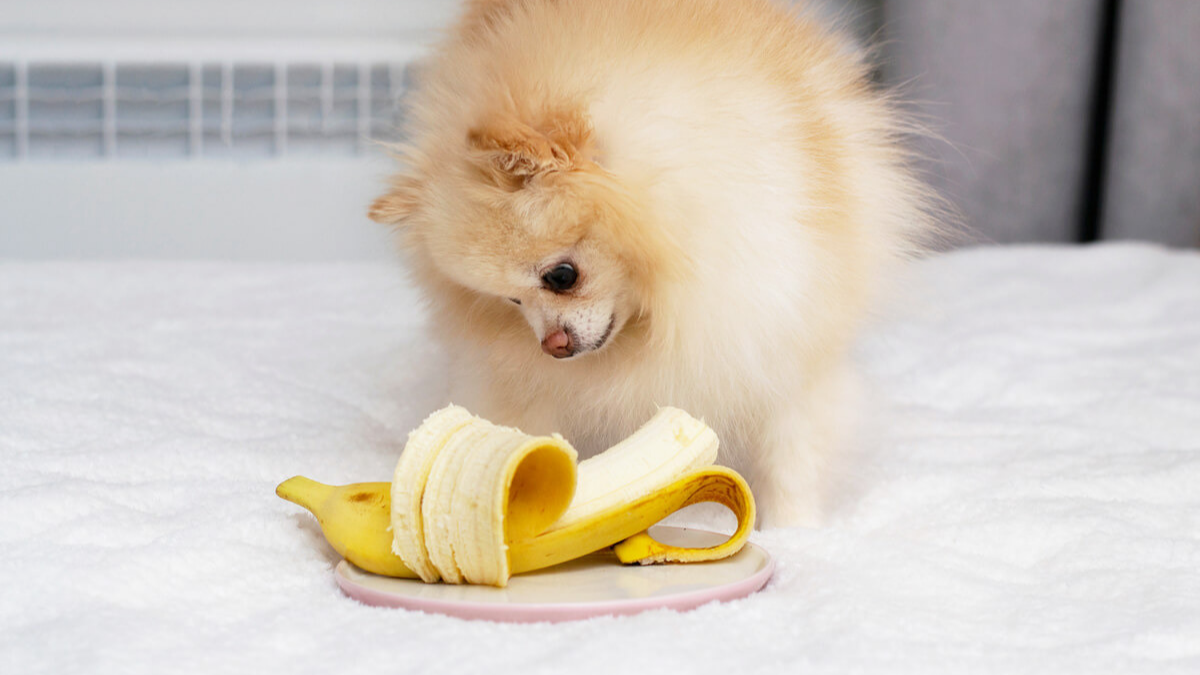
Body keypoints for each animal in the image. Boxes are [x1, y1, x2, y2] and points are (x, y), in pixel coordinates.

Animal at [369, 0, 931, 526]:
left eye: (561, 276)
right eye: (511, 301)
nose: (552, 347)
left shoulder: (780, 338)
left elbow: (793, 458)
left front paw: (797, 533)